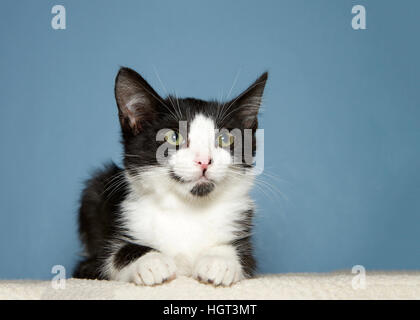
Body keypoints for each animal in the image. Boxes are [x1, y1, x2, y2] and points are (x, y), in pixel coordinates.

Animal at [74, 66, 268, 286]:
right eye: (173, 137)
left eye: (225, 138)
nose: (204, 160)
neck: (186, 208)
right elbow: (113, 255)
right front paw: (151, 262)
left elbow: (244, 255)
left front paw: (219, 262)